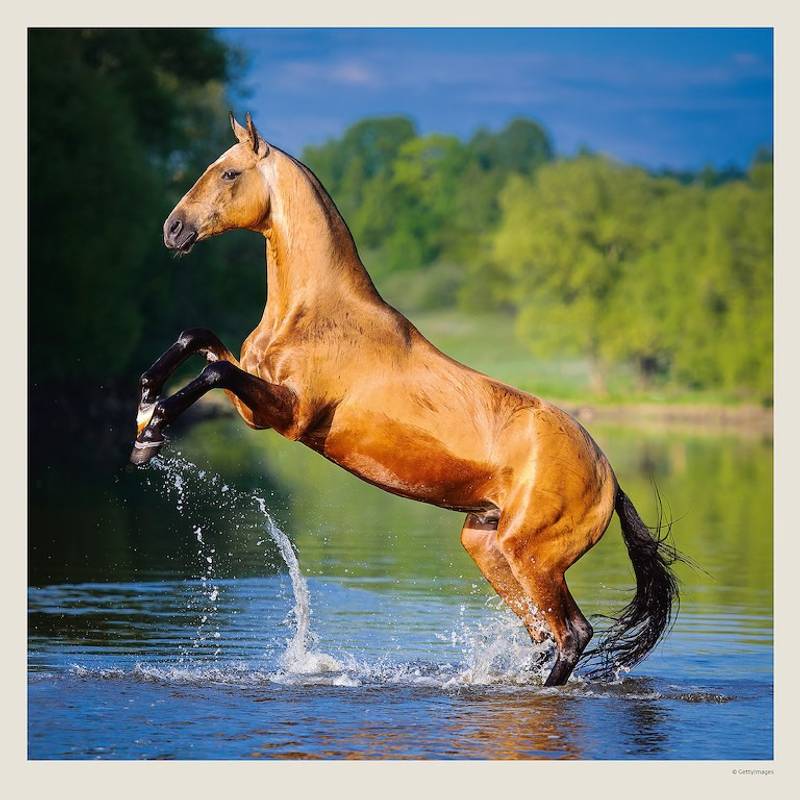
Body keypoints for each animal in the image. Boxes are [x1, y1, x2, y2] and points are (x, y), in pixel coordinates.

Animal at [131, 112, 682, 686]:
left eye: (230, 173)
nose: (173, 229)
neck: (313, 312)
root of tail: (609, 479)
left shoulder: (287, 414)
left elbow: (214, 368)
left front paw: (150, 432)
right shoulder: (254, 400)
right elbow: (196, 339)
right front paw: (145, 404)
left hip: (533, 557)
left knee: (572, 634)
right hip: (487, 544)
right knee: (543, 637)